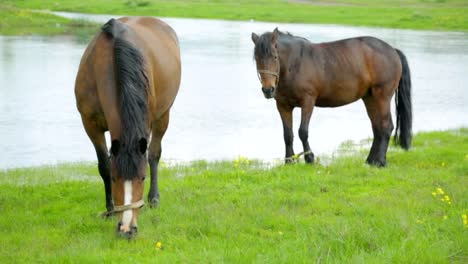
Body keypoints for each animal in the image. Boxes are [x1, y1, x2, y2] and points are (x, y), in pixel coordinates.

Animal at [75, 17, 181, 238]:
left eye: (143, 177)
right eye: (115, 179)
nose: (126, 229)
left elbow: (149, 157)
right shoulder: (90, 124)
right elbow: (104, 165)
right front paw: (109, 209)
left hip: (163, 116)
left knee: (154, 154)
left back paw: (154, 198)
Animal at [252, 28, 414, 167]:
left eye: (274, 57)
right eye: (257, 59)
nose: (268, 89)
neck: (295, 64)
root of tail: (393, 50)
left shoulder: (308, 102)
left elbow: (302, 131)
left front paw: (310, 158)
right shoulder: (283, 105)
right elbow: (288, 135)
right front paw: (289, 161)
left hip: (382, 97)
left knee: (386, 126)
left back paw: (380, 162)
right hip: (370, 99)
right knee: (377, 128)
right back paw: (371, 160)